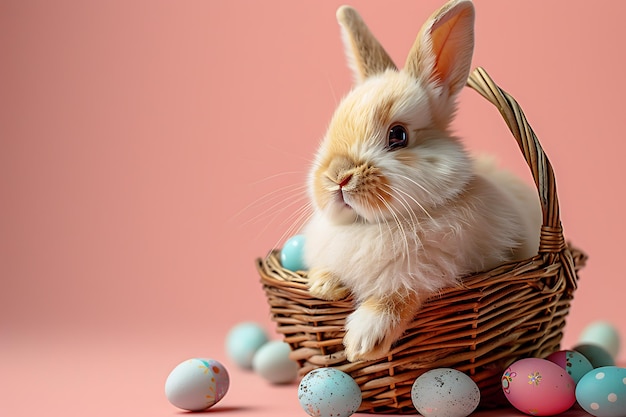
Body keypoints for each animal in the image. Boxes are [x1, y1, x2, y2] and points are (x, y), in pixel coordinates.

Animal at [300, 0, 540, 360]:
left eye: (398, 135)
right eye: (331, 128)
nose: (337, 177)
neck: (375, 226)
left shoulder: (434, 273)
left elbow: (399, 293)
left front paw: (362, 342)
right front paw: (323, 285)